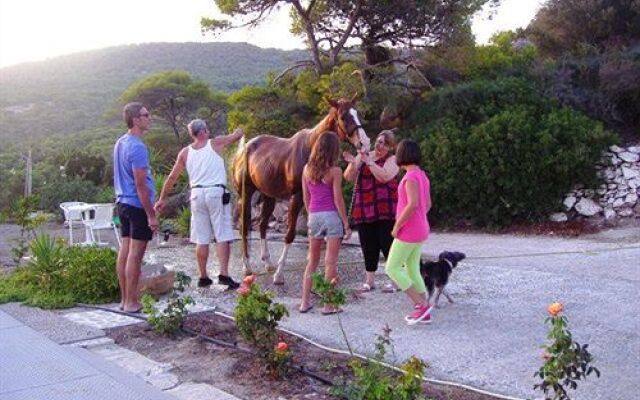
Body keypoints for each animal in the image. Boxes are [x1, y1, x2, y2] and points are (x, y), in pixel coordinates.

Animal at [232, 97, 368, 284]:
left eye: (357, 113)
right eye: (343, 116)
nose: (364, 143)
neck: (311, 150)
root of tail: (244, 148)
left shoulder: (308, 198)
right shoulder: (296, 198)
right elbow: (290, 234)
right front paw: (279, 274)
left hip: (268, 195)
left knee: (262, 224)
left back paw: (267, 262)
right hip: (245, 194)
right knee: (244, 227)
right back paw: (247, 267)